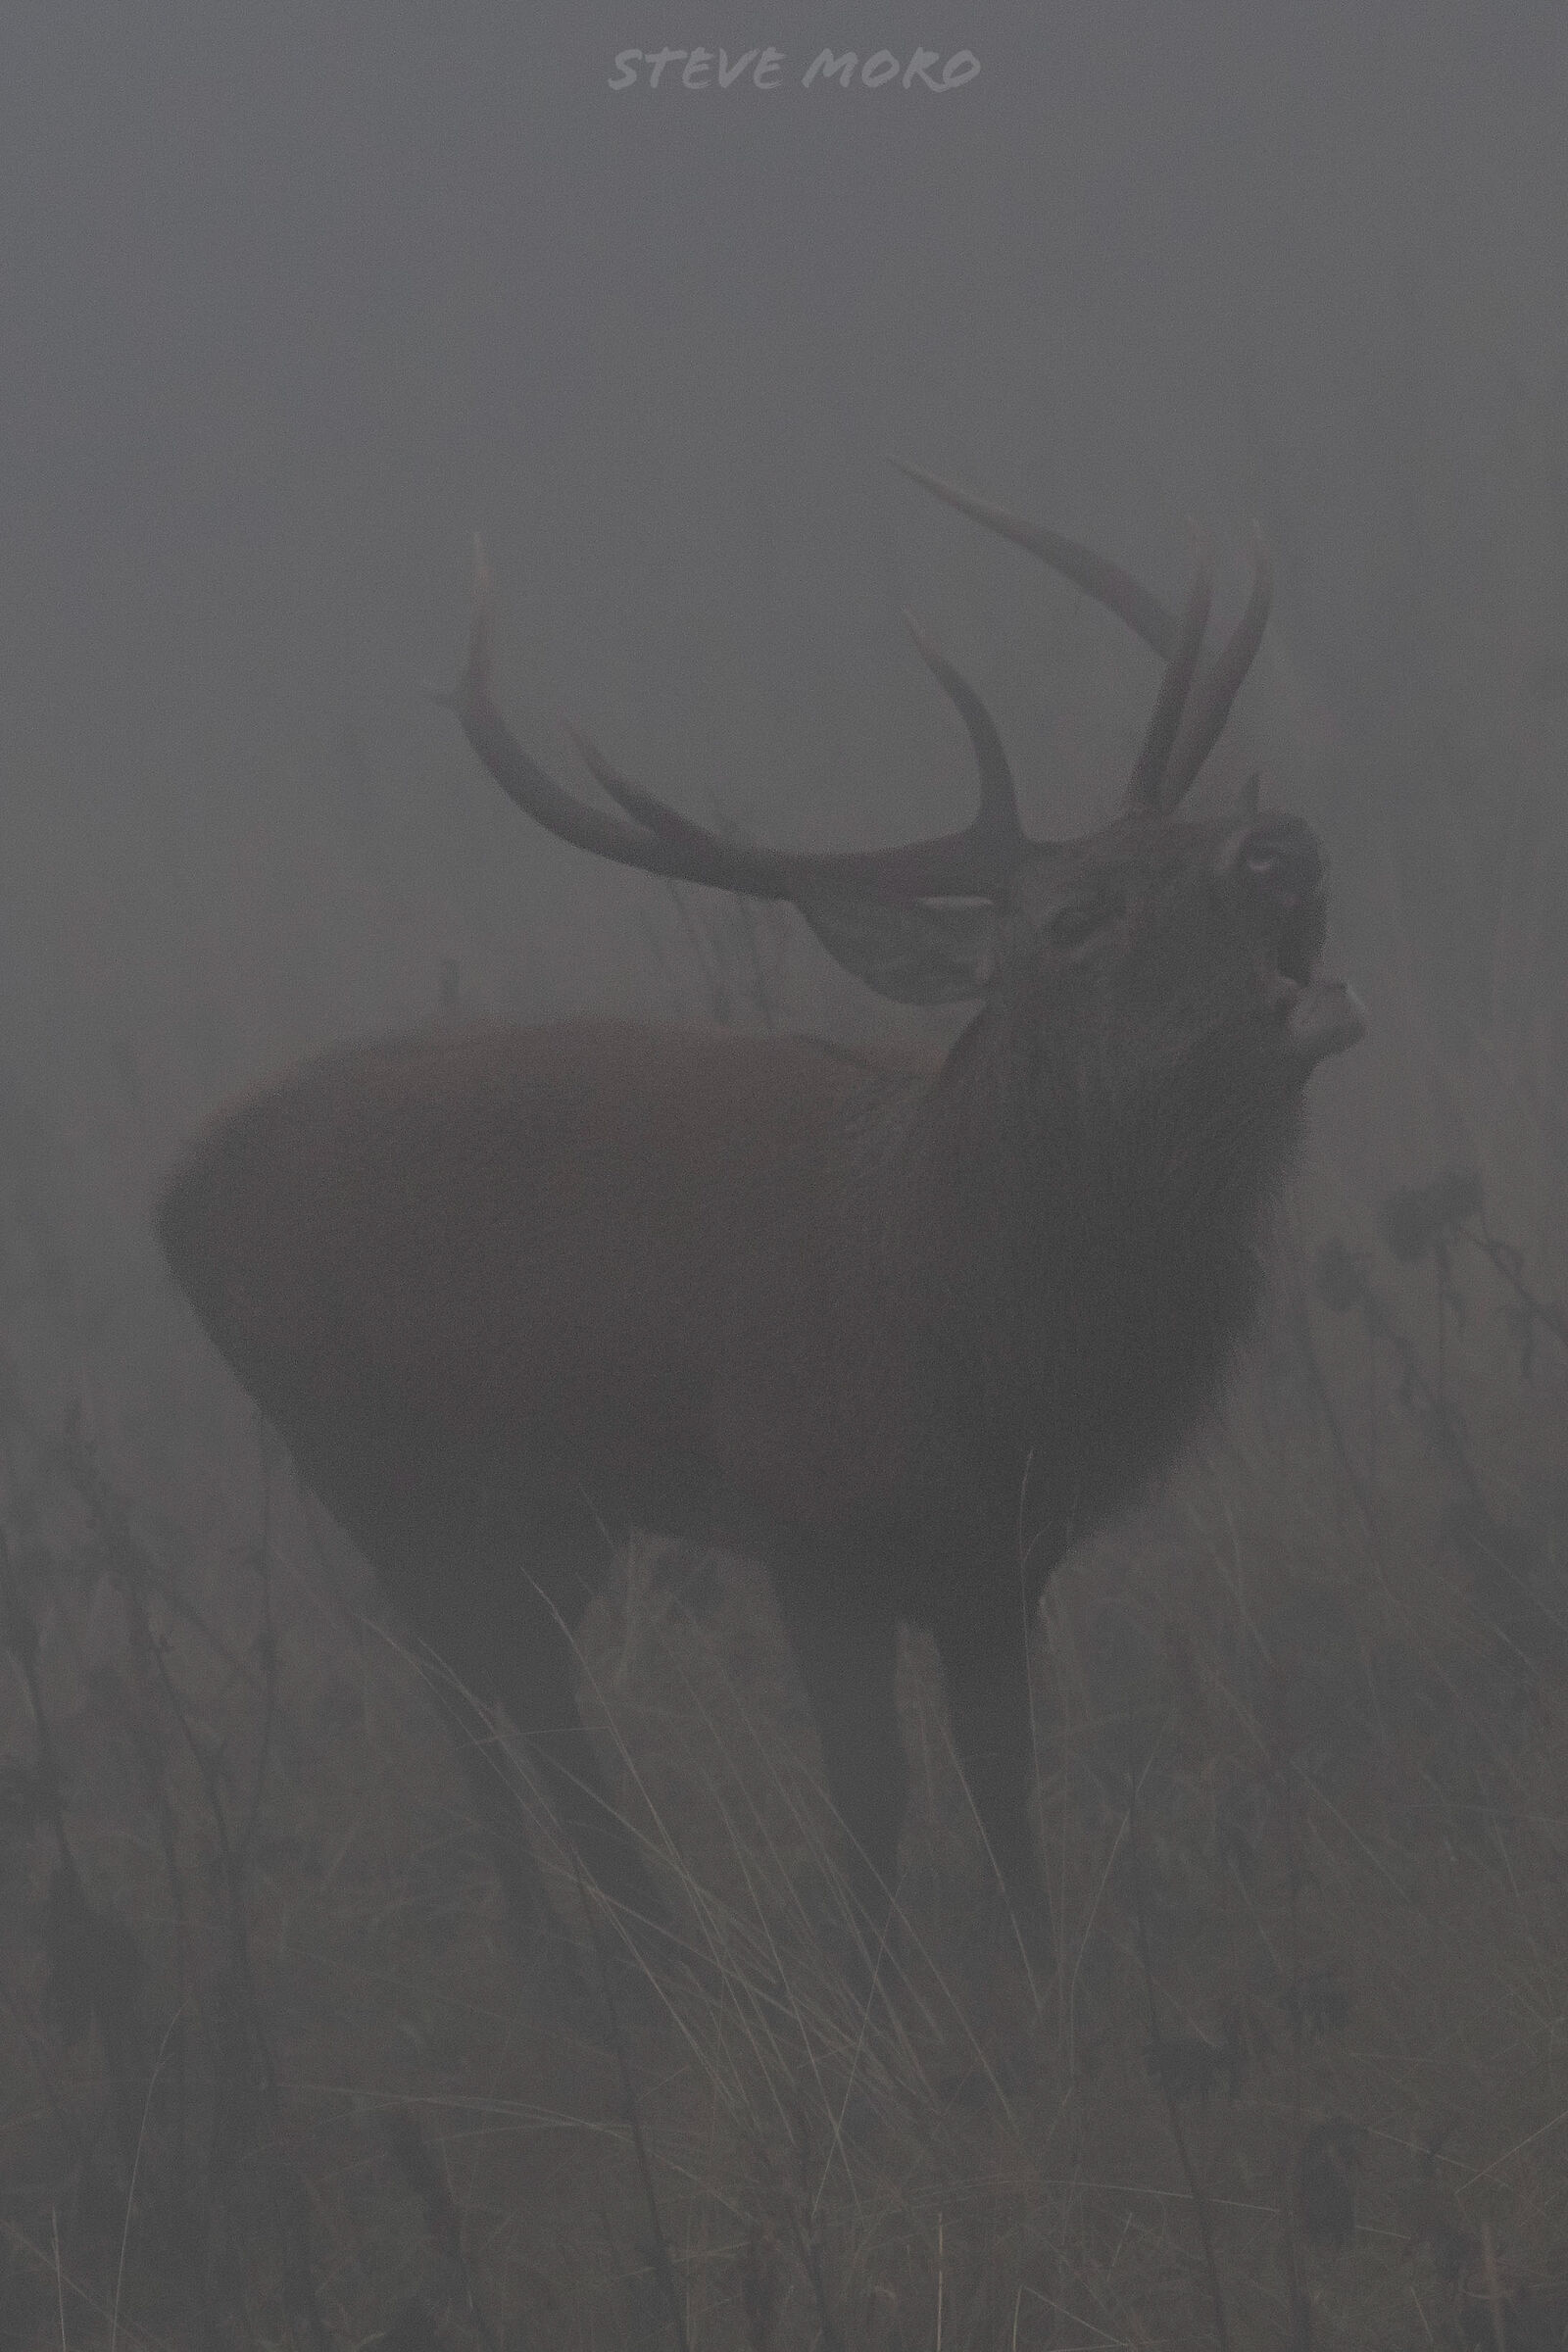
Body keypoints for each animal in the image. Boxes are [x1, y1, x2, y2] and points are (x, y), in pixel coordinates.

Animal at [157, 460, 1363, 1985]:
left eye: (1201, 828)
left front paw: (1040, 1984)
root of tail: (174, 1198)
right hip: (370, 1462)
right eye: (1076, 916)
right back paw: (577, 1968)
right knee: (476, 1693)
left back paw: (632, 1944)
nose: (1284, 845)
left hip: (542, 1504)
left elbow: (1002, 1777)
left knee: (525, 1690)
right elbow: (875, 1787)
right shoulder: (809, 1528)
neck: (973, 1336)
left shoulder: (997, 1560)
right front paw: (875, 1988)